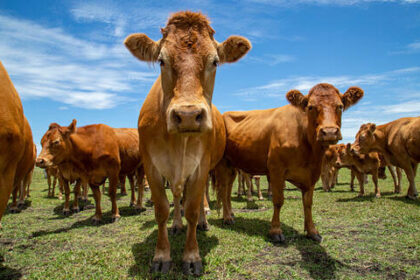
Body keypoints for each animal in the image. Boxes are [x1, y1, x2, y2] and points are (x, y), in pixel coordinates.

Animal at [123, 11, 251, 276]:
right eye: (161, 60)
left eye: (215, 61)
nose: (189, 115)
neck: (177, 142)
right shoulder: (152, 167)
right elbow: (162, 209)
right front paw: (162, 255)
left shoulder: (201, 166)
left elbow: (191, 207)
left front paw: (192, 256)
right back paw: (176, 225)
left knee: (201, 198)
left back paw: (203, 221)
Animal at [215, 82, 362, 243]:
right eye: (310, 107)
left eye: (340, 106)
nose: (329, 132)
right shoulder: (276, 170)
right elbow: (278, 201)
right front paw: (275, 231)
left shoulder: (312, 174)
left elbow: (308, 203)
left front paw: (312, 231)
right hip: (222, 163)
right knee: (223, 189)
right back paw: (227, 217)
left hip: (232, 165)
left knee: (228, 189)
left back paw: (230, 213)